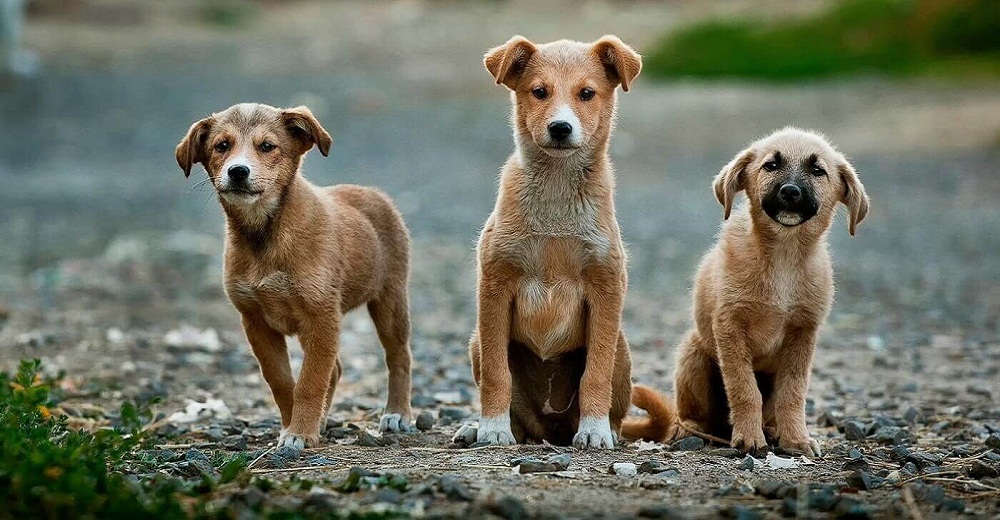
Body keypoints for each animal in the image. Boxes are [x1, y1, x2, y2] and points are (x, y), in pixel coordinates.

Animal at [176, 103, 414, 448]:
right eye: (222, 146)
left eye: (267, 146)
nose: (238, 171)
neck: (265, 235)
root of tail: (372, 192)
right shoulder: (256, 322)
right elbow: (282, 381)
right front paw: (294, 427)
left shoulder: (321, 316)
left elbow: (310, 381)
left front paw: (300, 432)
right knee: (336, 369)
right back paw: (324, 421)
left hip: (390, 300)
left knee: (399, 357)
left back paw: (397, 413)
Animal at [458, 35, 640, 446]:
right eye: (539, 92)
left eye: (587, 93)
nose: (560, 128)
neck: (556, 194)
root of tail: (550, 428)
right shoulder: (494, 285)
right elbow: (496, 373)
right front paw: (492, 428)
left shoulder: (606, 287)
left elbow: (595, 373)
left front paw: (594, 431)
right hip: (476, 340)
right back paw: (482, 427)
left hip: (621, 346)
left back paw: (605, 429)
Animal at [624, 127, 868, 456]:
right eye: (771, 165)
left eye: (818, 171)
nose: (790, 191)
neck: (783, 256)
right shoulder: (730, 326)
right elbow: (744, 389)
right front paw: (750, 438)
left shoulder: (803, 333)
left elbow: (793, 393)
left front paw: (796, 439)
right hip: (693, 353)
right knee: (691, 414)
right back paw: (692, 430)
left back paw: (772, 430)